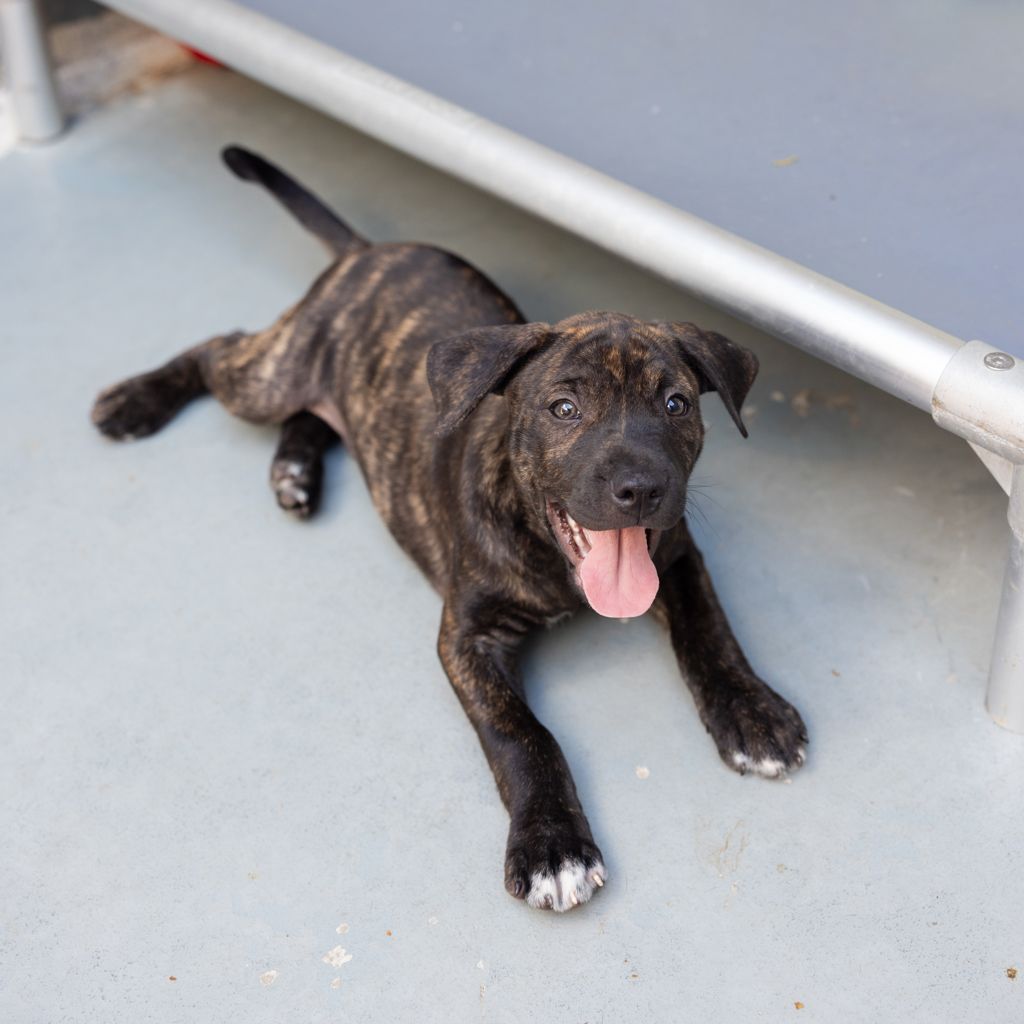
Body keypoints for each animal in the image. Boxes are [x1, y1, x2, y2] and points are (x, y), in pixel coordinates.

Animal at [92, 147, 807, 912]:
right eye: (563, 408)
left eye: (676, 404)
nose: (641, 489)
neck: (552, 556)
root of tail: (368, 252)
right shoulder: (466, 637)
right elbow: (522, 732)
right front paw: (552, 846)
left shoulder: (675, 554)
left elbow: (709, 629)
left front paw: (753, 712)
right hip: (270, 375)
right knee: (222, 348)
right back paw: (135, 400)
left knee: (317, 413)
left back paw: (294, 471)